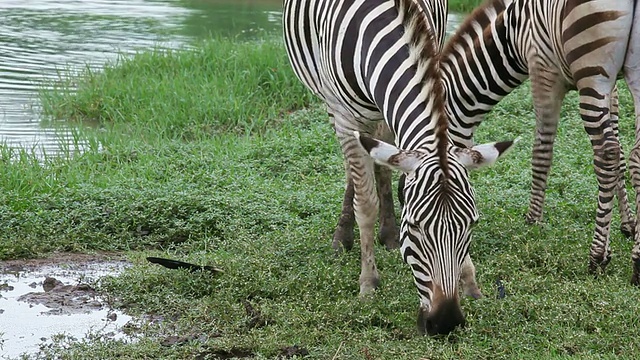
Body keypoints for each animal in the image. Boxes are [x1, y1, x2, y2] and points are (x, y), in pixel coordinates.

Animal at [284, 0, 516, 334]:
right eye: (415, 227)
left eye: (471, 225)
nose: (446, 322)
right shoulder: (345, 118)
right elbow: (365, 203)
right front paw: (368, 282)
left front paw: (469, 279)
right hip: (331, 105)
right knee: (355, 172)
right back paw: (343, 237)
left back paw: (388, 234)